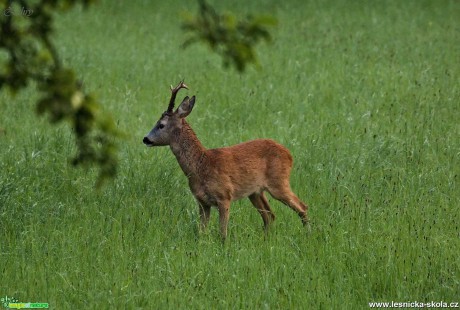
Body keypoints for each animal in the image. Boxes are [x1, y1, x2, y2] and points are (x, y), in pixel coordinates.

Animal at [144, 80, 310, 240]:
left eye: (161, 125)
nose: (145, 139)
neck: (201, 165)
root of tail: (289, 154)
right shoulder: (202, 202)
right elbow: (201, 232)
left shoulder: (224, 196)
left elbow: (222, 233)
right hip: (255, 192)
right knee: (269, 216)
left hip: (279, 182)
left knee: (302, 207)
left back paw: (308, 235)